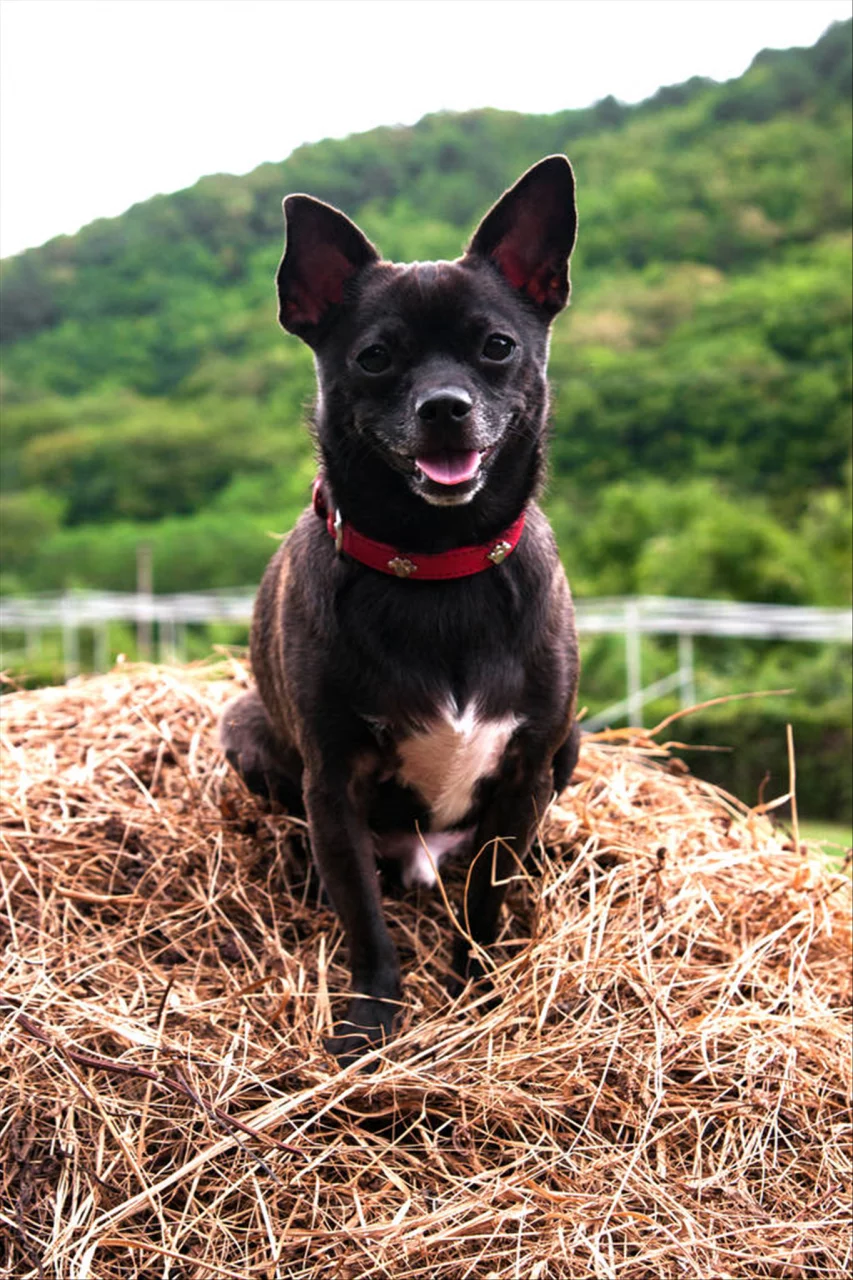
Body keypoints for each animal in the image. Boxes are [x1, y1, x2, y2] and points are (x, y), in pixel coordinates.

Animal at [219, 157, 578, 1059]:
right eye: (375, 358)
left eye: (496, 347)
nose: (444, 406)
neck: (437, 565)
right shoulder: (334, 786)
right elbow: (367, 922)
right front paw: (372, 1020)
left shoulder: (523, 773)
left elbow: (483, 905)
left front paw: (477, 993)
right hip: (247, 733)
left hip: (568, 747)